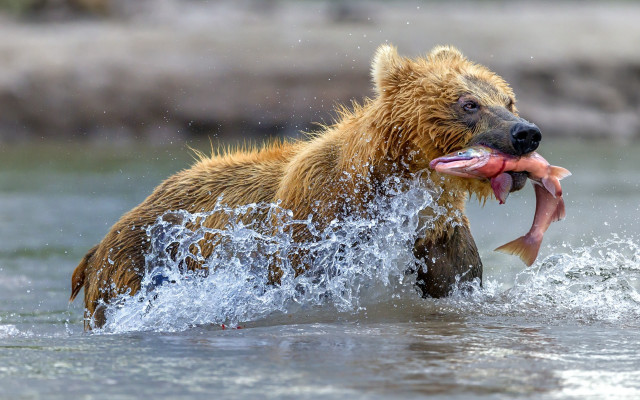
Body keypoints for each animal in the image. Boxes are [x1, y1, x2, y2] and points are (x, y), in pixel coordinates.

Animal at [70, 44, 541, 329]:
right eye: (469, 103)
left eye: (508, 99)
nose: (526, 133)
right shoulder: (316, 224)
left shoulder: (438, 234)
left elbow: (454, 282)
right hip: (135, 267)